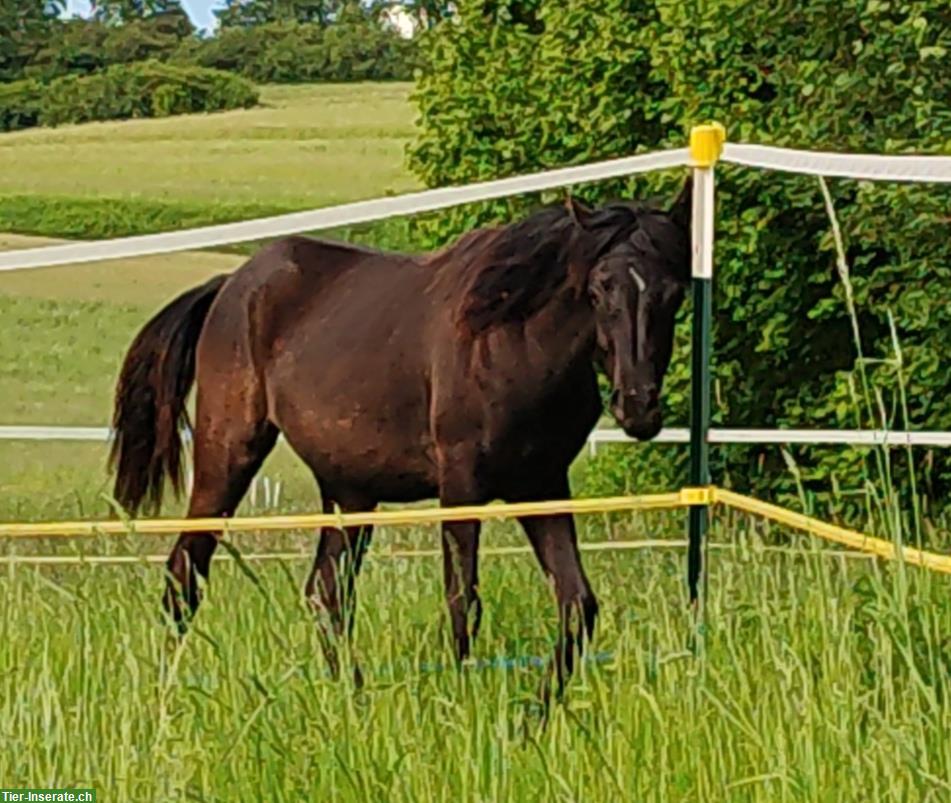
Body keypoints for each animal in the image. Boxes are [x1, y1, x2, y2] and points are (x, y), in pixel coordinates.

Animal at [111, 181, 692, 692]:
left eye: (674, 292)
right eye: (598, 289)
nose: (638, 406)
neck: (512, 339)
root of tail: (231, 285)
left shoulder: (542, 485)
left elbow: (577, 605)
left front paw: (536, 717)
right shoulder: (461, 487)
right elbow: (463, 602)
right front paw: (462, 708)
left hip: (349, 491)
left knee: (325, 595)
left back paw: (354, 699)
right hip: (228, 454)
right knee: (185, 577)